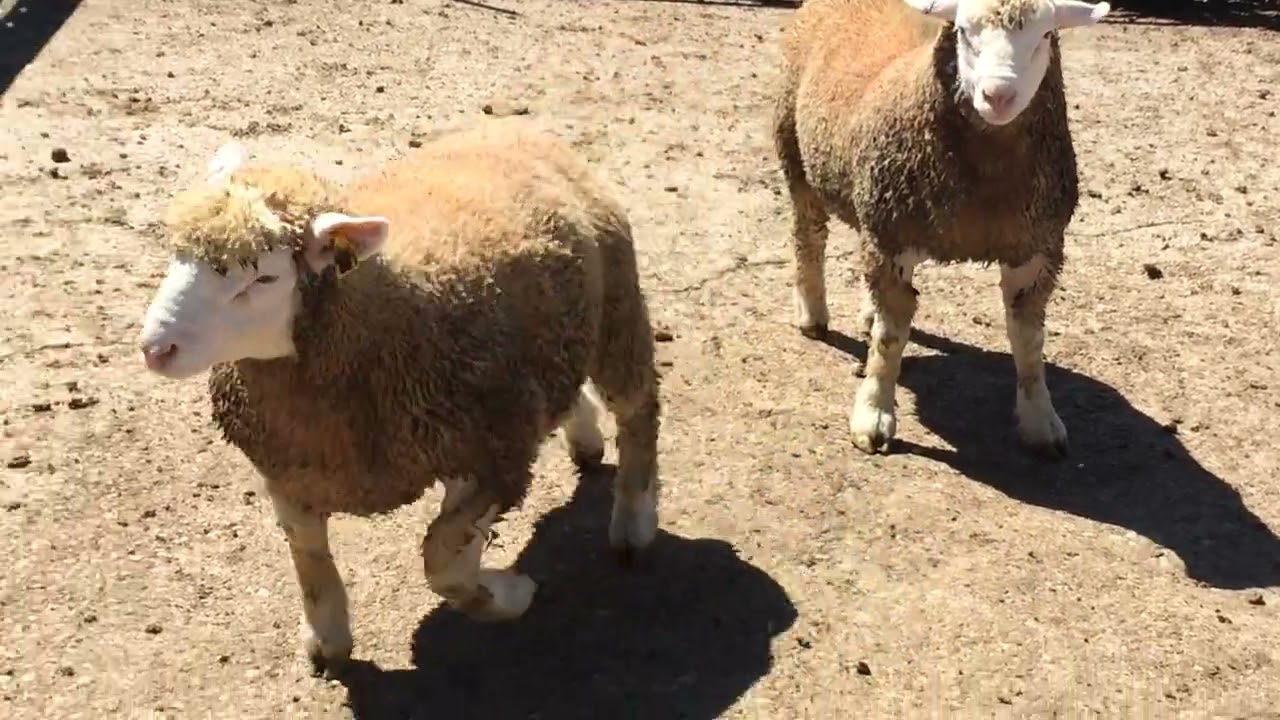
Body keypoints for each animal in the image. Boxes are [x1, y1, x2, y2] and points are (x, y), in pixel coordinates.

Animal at [135, 121, 662, 676]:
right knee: (565, 391)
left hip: (618, 312)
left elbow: (443, 562)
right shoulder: (290, 471)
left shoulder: (492, 455)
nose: (157, 349)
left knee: (639, 410)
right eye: (177, 255)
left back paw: (633, 522)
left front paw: (508, 594)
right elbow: (310, 562)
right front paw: (328, 640)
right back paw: (585, 440)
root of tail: (515, 128)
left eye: (264, 277)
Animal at [771, 0, 1111, 457]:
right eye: (964, 31)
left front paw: (1041, 420)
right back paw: (812, 313)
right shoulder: (894, 236)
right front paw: (873, 416)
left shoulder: (1035, 248)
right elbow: (890, 339)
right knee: (809, 237)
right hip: (795, 152)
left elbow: (1029, 345)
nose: (998, 95)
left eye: (1044, 35)